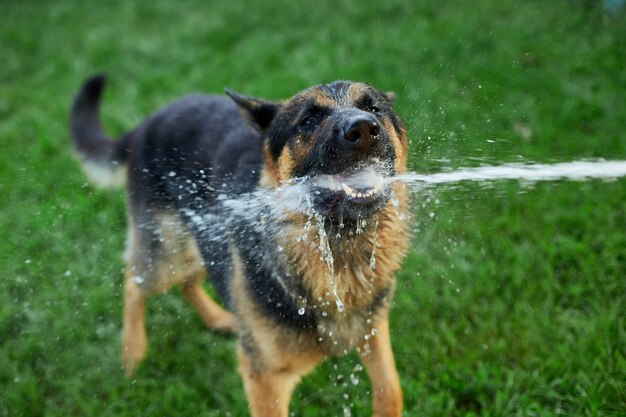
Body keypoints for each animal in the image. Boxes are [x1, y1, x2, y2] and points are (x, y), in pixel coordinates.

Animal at [69, 75, 410, 416]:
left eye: (373, 108)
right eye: (309, 120)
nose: (362, 129)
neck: (338, 246)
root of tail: (145, 124)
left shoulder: (373, 328)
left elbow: (391, 390)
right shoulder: (265, 378)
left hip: (203, 239)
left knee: (187, 279)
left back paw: (219, 318)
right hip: (164, 254)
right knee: (134, 279)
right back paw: (132, 351)